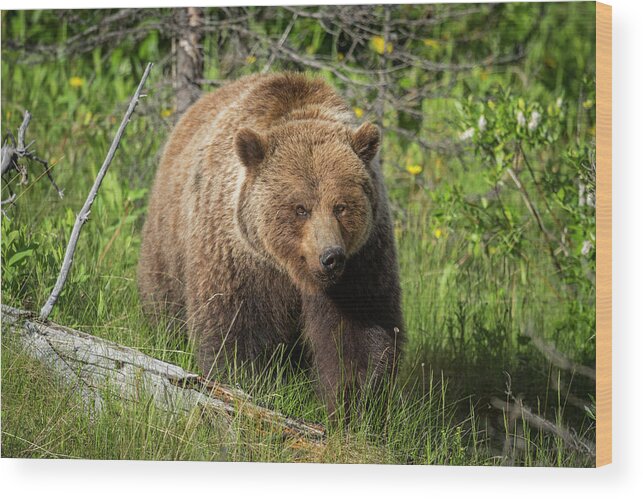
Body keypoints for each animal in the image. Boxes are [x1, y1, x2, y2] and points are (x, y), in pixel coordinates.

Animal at [139, 70, 406, 414]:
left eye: (341, 206)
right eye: (301, 208)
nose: (331, 257)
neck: (290, 269)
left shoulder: (364, 258)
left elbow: (358, 330)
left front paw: (354, 402)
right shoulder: (239, 257)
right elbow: (235, 327)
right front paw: (251, 386)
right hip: (169, 240)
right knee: (164, 298)